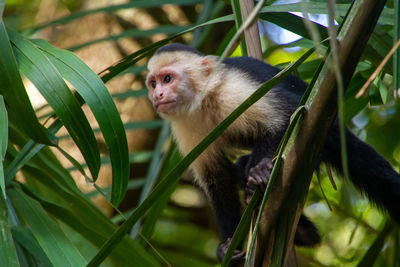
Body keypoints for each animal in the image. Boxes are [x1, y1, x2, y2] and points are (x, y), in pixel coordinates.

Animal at [145, 43, 400, 264]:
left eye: (168, 79)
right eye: (153, 83)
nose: (157, 95)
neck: (204, 99)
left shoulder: (232, 90)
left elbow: (290, 115)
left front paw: (259, 169)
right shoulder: (185, 124)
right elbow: (217, 178)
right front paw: (229, 245)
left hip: (324, 137)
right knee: (238, 167)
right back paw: (303, 231)